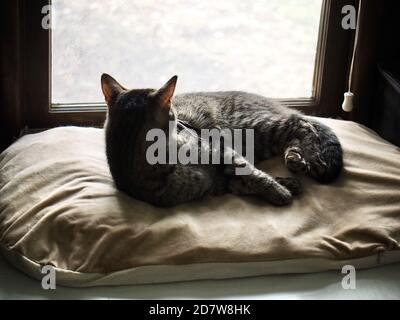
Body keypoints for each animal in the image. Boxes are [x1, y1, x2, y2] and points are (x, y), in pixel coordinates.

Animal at [101, 74, 342, 206]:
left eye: (176, 114)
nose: (184, 126)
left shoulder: (222, 151)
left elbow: (252, 173)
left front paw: (279, 190)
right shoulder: (221, 183)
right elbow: (248, 181)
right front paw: (285, 186)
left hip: (255, 128)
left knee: (301, 124)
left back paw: (313, 159)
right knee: (293, 134)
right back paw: (295, 160)